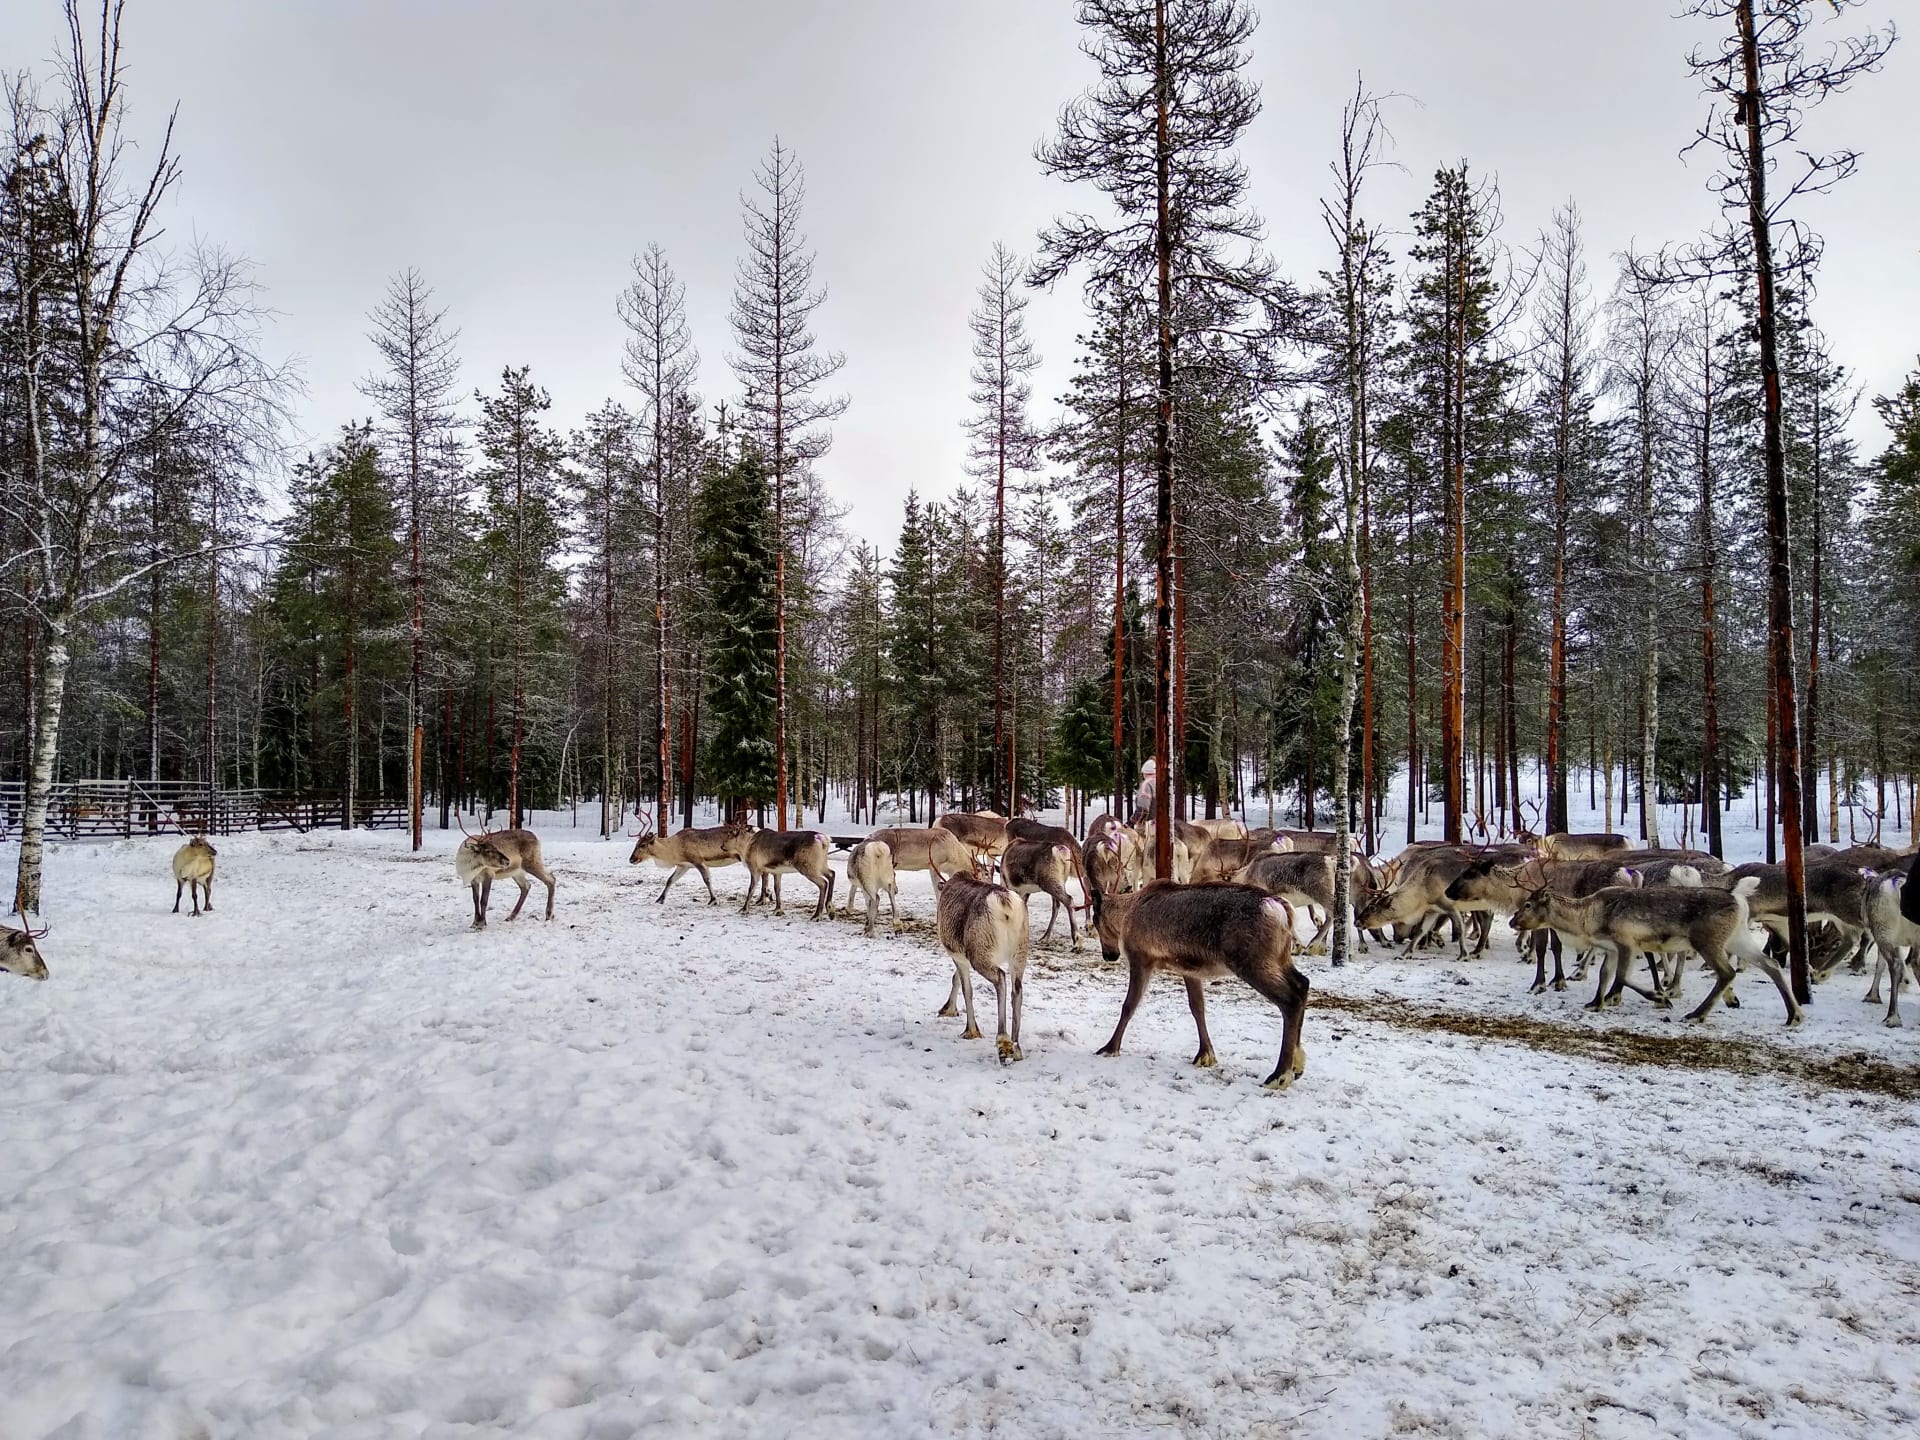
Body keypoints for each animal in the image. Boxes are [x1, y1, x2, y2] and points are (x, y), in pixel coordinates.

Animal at [934, 873, 1029, 1063]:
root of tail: (1005, 903)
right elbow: (957, 980)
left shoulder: (959, 956)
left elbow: (966, 989)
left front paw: (970, 1031)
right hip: (1020, 953)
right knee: (1017, 990)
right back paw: (1016, 1048)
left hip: (980, 955)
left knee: (1000, 978)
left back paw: (1003, 1042)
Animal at [1096, 881, 1310, 1091]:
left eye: (1096, 921)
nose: (1109, 955)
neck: (1126, 912)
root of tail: (1284, 909)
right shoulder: (1189, 969)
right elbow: (1197, 1007)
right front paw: (1205, 1055)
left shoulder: (1140, 957)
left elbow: (1129, 1005)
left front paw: (1109, 1048)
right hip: (1280, 958)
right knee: (1302, 984)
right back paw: (1297, 1065)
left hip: (1252, 963)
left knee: (1290, 1000)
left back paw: (1279, 1075)